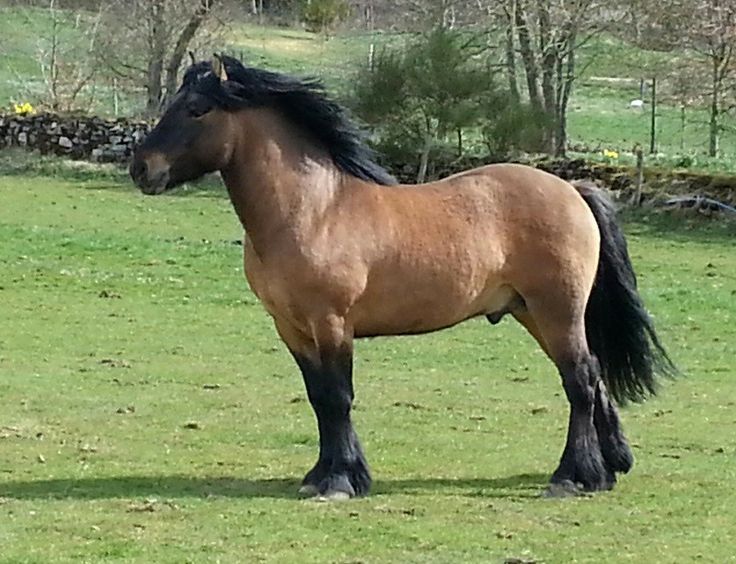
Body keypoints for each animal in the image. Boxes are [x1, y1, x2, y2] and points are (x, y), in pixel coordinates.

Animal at [129, 55, 675, 499]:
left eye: (197, 108)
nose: (141, 169)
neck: (315, 209)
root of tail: (572, 188)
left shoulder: (332, 324)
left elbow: (338, 397)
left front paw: (340, 481)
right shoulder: (292, 328)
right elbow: (319, 399)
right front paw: (320, 475)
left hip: (556, 310)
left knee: (579, 381)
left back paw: (569, 478)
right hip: (533, 313)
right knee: (594, 376)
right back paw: (605, 470)